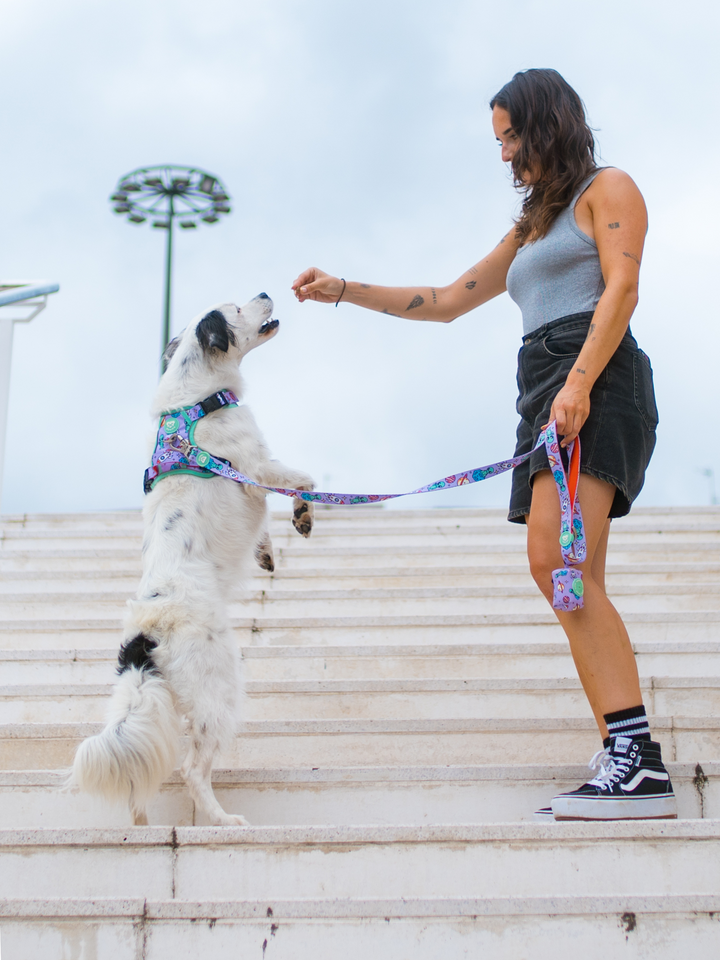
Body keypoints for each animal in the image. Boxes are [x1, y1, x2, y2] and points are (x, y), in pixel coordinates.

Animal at [71, 296, 316, 828]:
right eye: (237, 307)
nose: (266, 292)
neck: (195, 397)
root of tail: (143, 637)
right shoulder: (257, 465)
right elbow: (304, 480)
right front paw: (303, 516)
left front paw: (266, 551)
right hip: (220, 689)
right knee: (191, 769)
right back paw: (223, 821)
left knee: (140, 784)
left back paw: (141, 828)